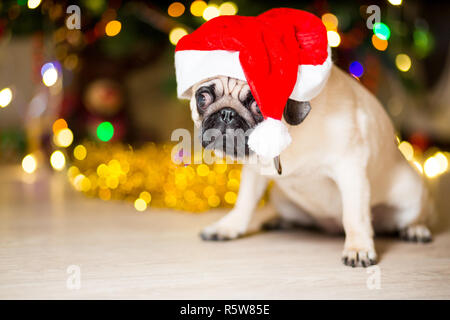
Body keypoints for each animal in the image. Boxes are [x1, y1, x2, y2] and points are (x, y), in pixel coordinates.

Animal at [187, 65, 432, 268]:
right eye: (202, 97)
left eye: (258, 105)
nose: (226, 113)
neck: (288, 132)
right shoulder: (255, 170)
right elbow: (244, 202)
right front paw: (227, 227)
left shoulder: (351, 170)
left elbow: (355, 216)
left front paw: (358, 248)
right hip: (281, 199)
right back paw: (279, 220)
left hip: (411, 194)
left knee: (414, 216)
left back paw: (416, 229)